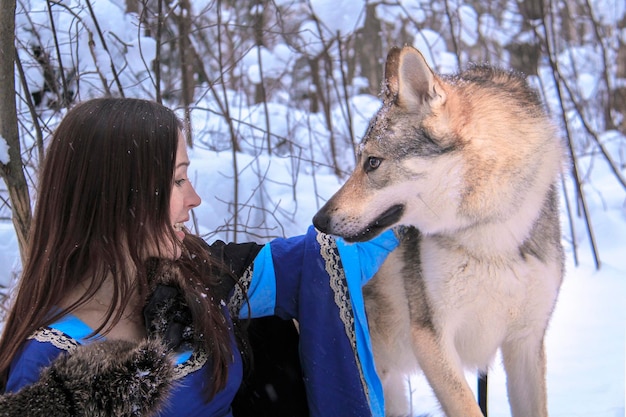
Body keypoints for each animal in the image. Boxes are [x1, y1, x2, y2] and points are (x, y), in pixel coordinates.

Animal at [312, 44, 564, 414]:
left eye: (372, 163)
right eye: (361, 161)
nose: (319, 221)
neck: (488, 231)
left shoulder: (526, 342)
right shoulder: (431, 338)